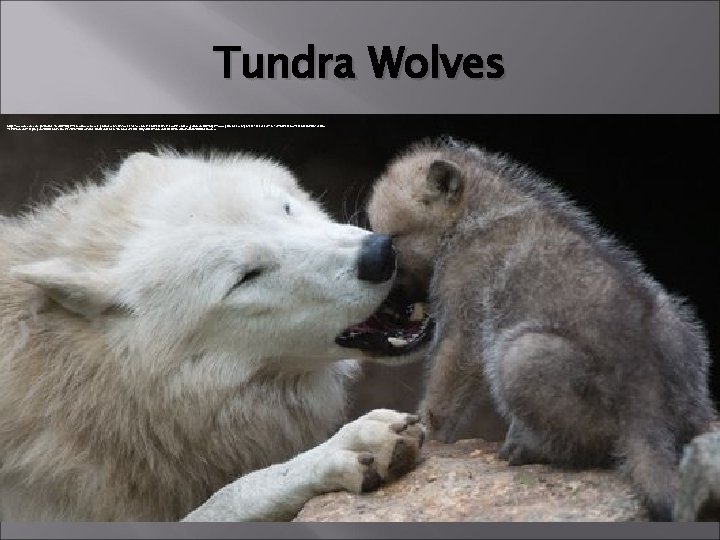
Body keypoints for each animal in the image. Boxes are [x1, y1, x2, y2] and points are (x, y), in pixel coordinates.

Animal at [366, 138, 716, 521]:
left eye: (391, 241)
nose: (380, 306)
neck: (477, 215)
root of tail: (648, 409)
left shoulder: (464, 321)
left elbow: (442, 393)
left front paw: (423, 431)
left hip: (520, 354)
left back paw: (523, 449)